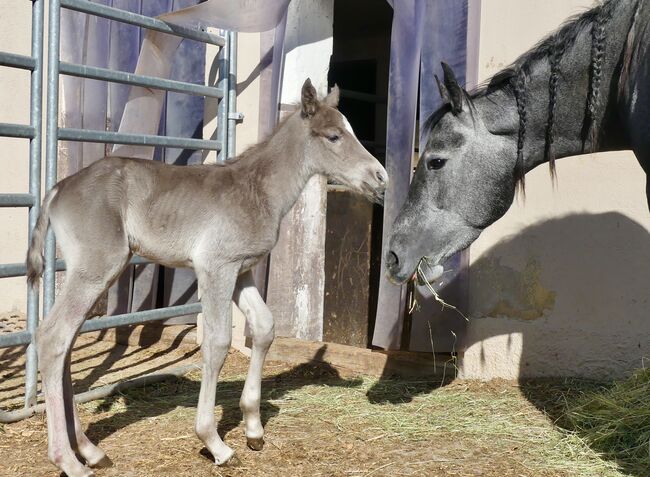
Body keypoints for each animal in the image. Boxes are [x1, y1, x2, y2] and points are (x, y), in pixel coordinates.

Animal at [26, 79, 384, 476]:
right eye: (334, 136)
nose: (381, 177)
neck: (257, 190)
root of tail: (59, 189)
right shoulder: (216, 267)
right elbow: (217, 342)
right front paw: (215, 443)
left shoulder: (241, 270)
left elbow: (264, 327)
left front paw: (254, 428)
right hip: (96, 267)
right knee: (53, 337)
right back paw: (69, 460)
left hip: (92, 272)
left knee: (65, 341)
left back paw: (91, 451)